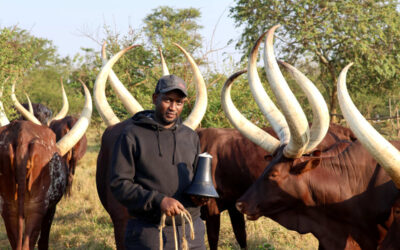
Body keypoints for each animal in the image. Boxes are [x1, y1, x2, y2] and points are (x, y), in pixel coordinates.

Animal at [0, 82, 91, 250]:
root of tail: (21, 138)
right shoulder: (50, 208)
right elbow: (43, 240)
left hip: (9, 207)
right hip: (37, 207)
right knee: (28, 243)